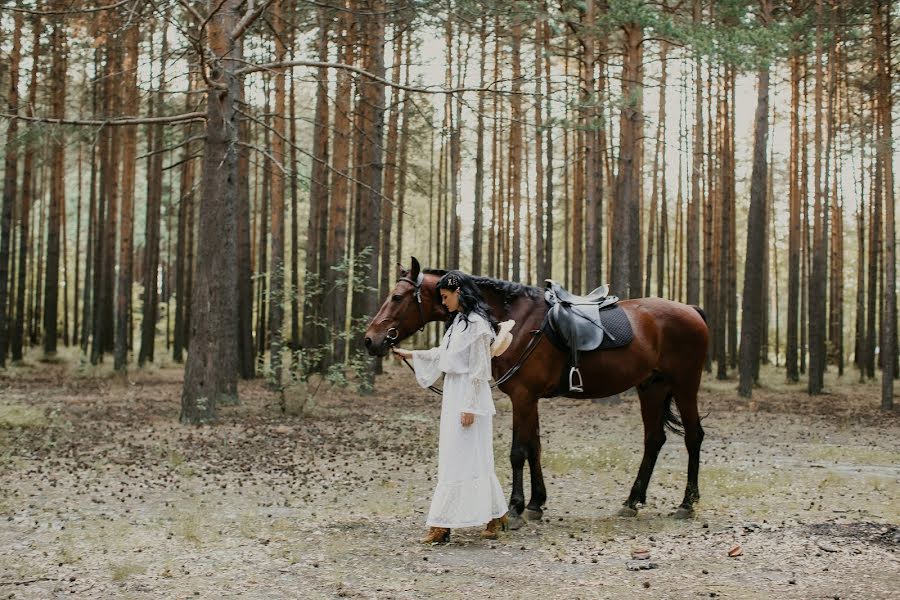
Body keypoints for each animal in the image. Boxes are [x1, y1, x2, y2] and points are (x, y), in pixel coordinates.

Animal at [362, 255, 708, 528]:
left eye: (397, 297)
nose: (370, 339)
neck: (515, 321)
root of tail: (692, 310)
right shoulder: (530, 399)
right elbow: (535, 448)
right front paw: (536, 503)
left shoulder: (523, 396)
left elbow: (519, 452)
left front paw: (516, 508)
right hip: (651, 388)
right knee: (654, 440)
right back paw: (632, 501)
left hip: (685, 385)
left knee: (693, 437)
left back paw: (687, 503)